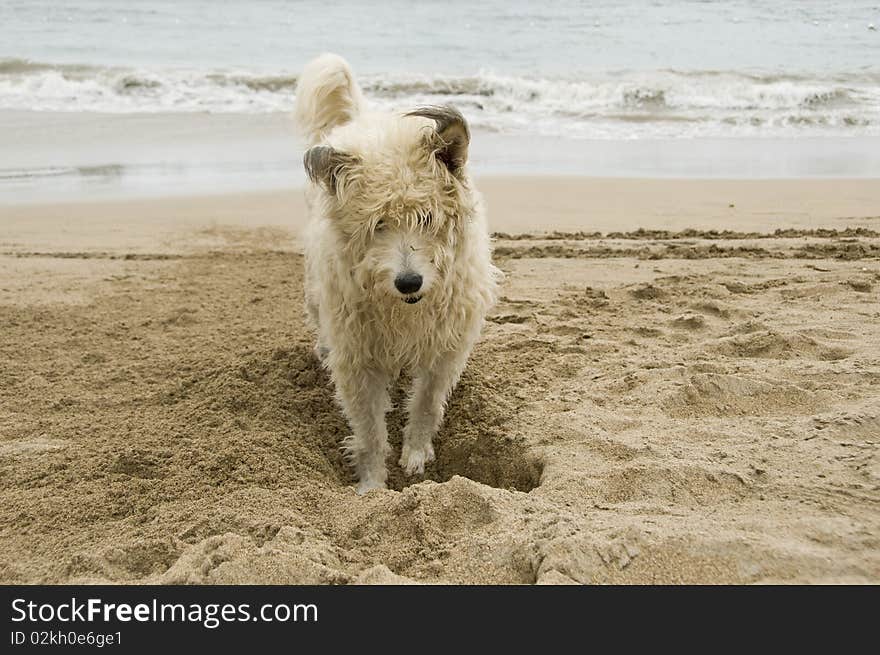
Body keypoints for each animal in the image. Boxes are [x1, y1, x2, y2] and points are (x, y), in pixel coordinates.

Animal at [296, 53, 502, 492]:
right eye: (378, 225)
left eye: (427, 218)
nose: (409, 282)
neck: (405, 309)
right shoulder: (357, 359)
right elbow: (369, 430)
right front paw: (373, 484)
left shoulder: (445, 348)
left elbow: (426, 403)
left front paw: (416, 454)